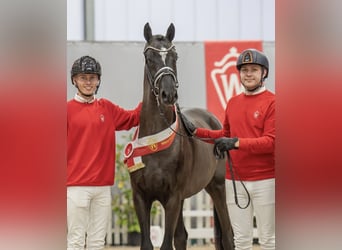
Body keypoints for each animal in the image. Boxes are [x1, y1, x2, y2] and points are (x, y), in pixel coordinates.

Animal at [125, 23, 235, 250]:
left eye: (174, 56)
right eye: (149, 57)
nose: (168, 94)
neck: (153, 145)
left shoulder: (173, 198)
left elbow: (166, 244)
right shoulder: (140, 197)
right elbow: (149, 244)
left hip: (216, 187)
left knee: (227, 235)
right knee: (182, 236)